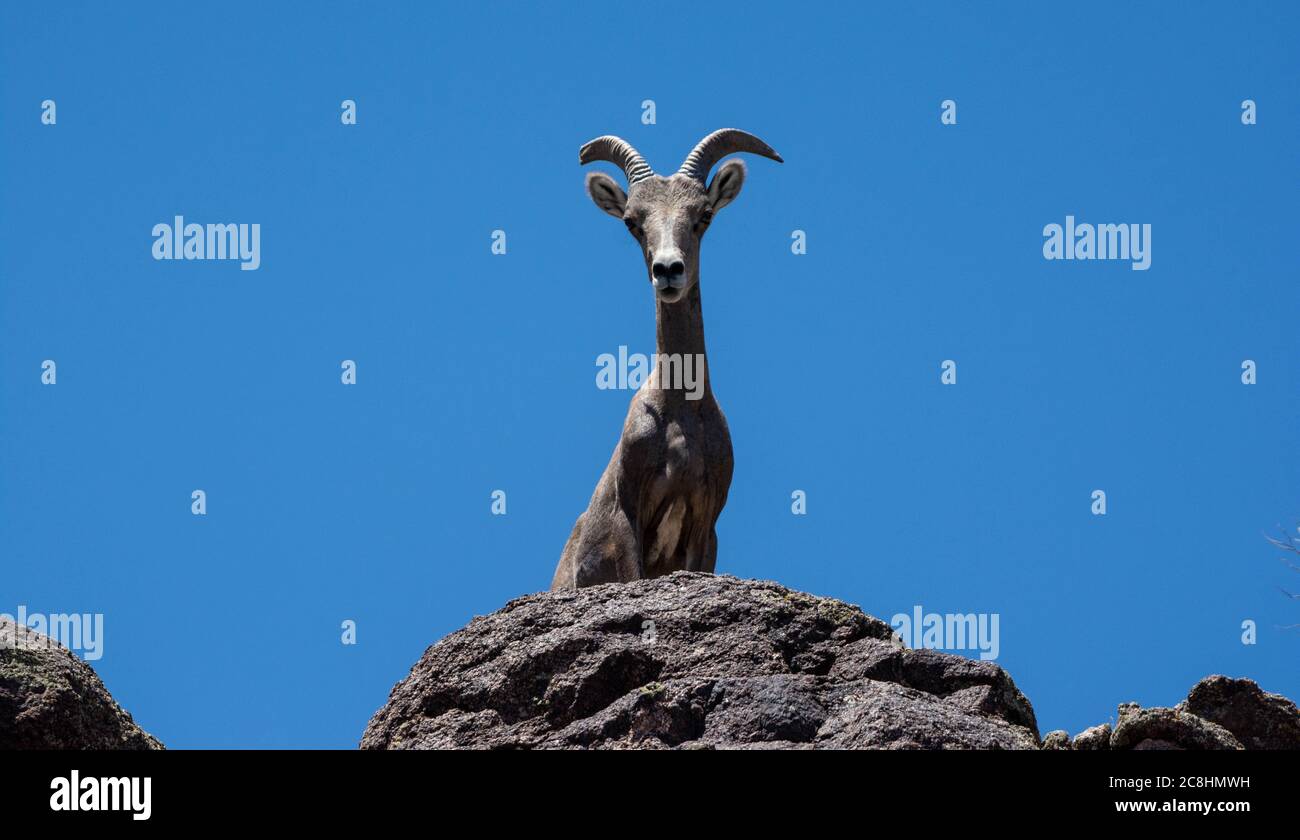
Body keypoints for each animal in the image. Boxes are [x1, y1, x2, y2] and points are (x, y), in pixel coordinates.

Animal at [548, 131, 780, 592]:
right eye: (631, 221)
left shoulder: (705, 523)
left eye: (703, 215)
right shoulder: (627, 514)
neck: (680, 413)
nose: (668, 269)